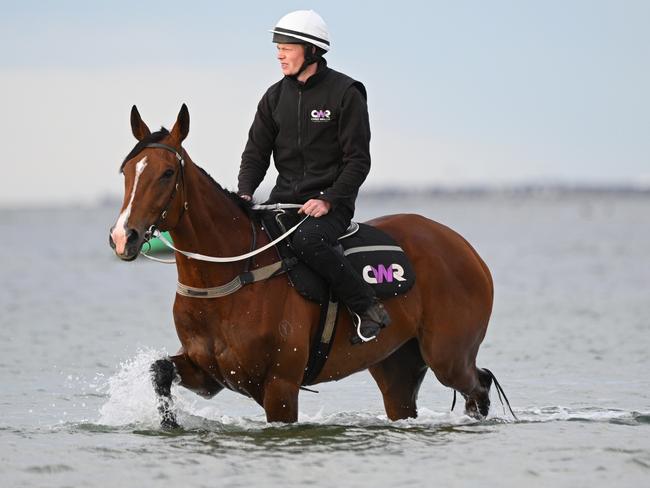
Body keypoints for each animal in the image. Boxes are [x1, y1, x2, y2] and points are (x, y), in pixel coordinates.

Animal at [107, 104, 512, 428]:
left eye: (167, 174)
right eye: (126, 171)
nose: (123, 236)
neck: (231, 276)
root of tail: (463, 247)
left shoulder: (280, 388)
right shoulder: (210, 372)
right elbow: (160, 370)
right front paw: (169, 422)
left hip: (448, 355)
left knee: (478, 385)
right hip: (396, 365)